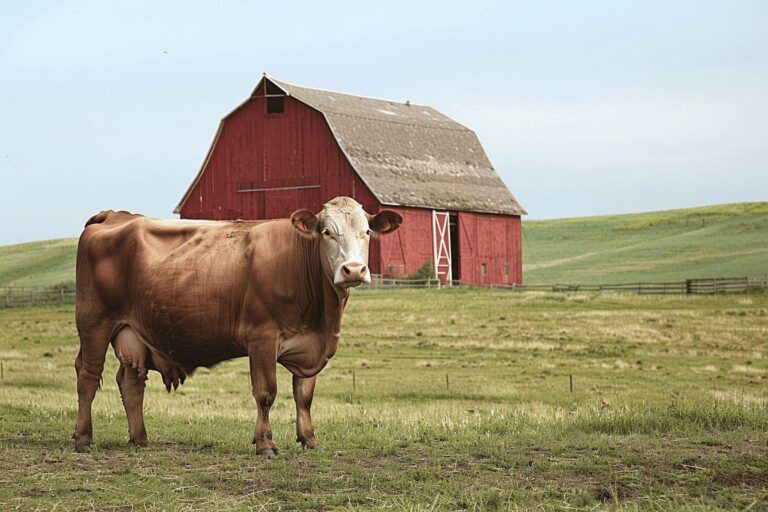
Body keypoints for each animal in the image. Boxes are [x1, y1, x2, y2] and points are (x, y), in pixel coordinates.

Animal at [73, 196, 402, 457]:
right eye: (327, 232)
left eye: (367, 232)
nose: (353, 270)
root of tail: (116, 215)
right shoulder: (262, 339)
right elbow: (266, 393)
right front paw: (265, 444)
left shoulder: (309, 347)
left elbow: (304, 396)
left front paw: (309, 439)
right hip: (94, 324)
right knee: (88, 376)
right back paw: (83, 438)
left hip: (132, 334)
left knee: (130, 383)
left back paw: (140, 438)